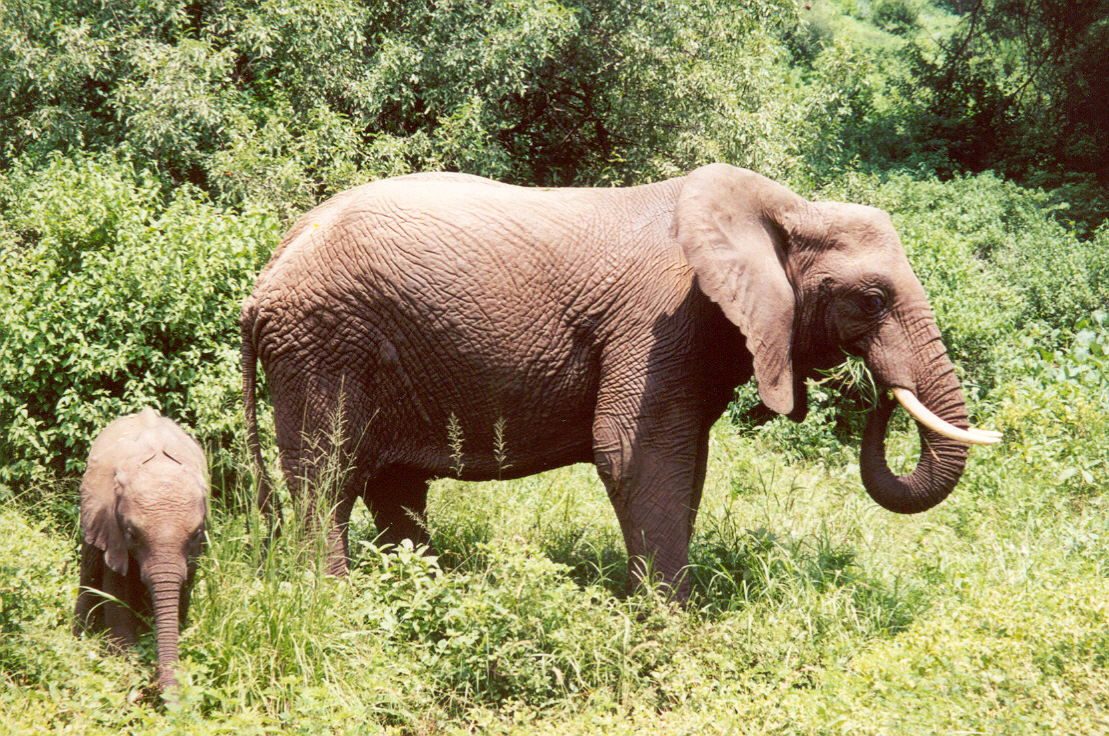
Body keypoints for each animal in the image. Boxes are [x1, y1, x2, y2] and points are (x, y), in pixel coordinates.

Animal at [73, 407, 208, 696]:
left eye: (195, 535)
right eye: (132, 534)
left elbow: (184, 585)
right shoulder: (111, 524)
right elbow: (117, 588)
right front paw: (126, 663)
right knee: (89, 570)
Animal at [240, 164, 998, 602]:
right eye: (871, 300)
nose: (877, 392)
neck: (785, 209)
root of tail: (264, 278)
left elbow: (685, 466)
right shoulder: (661, 321)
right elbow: (638, 456)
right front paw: (670, 625)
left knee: (394, 486)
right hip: (322, 345)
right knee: (327, 481)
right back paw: (335, 608)